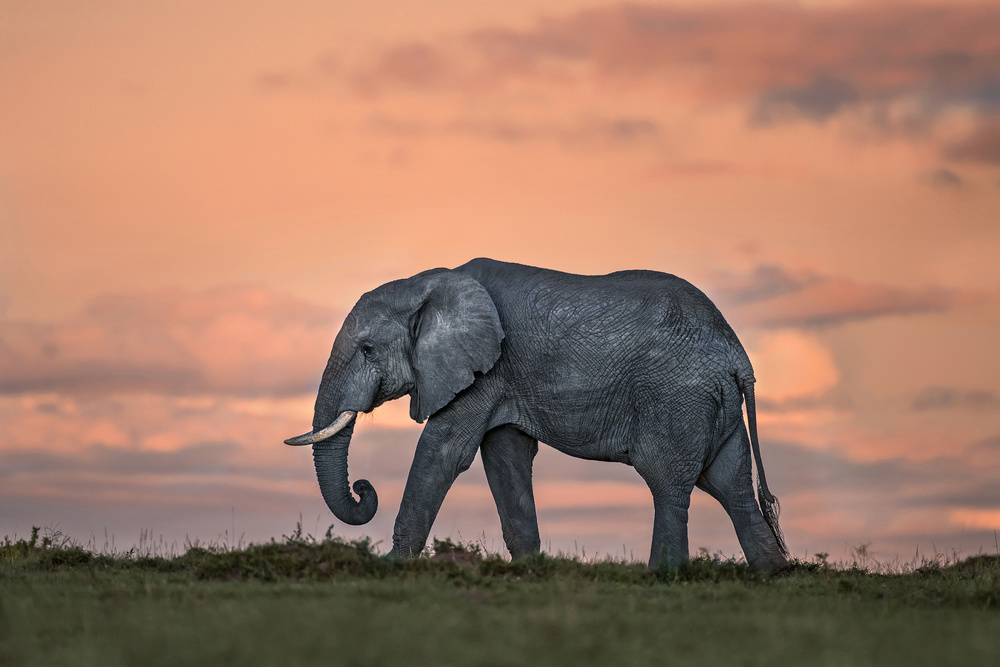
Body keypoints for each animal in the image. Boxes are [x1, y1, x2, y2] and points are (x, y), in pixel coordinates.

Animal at [288, 258, 788, 572]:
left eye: (368, 350)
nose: (363, 487)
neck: (432, 282)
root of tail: (736, 352)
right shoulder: (501, 379)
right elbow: (504, 458)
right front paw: (530, 568)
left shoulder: (486, 370)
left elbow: (444, 451)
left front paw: (391, 566)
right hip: (714, 404)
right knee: (731, 485)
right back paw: (775, 575)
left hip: (677, 398)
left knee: (669, 483)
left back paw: (660, 577)